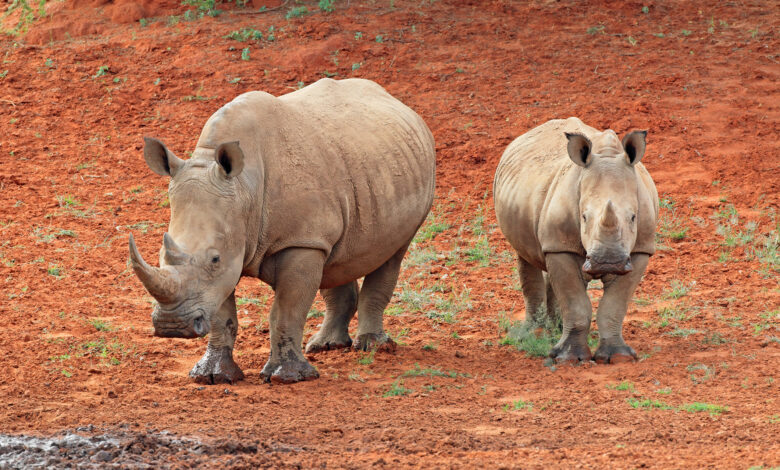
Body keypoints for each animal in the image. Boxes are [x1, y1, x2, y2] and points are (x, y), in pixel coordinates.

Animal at [128, 78, 435, 384]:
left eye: (214, 259)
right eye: (160, 255)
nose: (171, 325)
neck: (244, 189)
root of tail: (395, 101)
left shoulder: (298, 242)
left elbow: (286, 311)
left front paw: (286, 377)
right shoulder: (234, 247)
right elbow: (221, 315)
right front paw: (213, 376)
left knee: (393, 253)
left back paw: (372, 347)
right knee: (335, 260)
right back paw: (326, 346)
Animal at [493, 117, 658, 364]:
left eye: (633, 217)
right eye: (584, 217)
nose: (608, 262)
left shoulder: (640, 250)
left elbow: (614, 306)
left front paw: (618, 357)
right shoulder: (561, 247)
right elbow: (575, 303)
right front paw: (569, 359)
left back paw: (555, 327)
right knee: (526, 255)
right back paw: (533, 333)